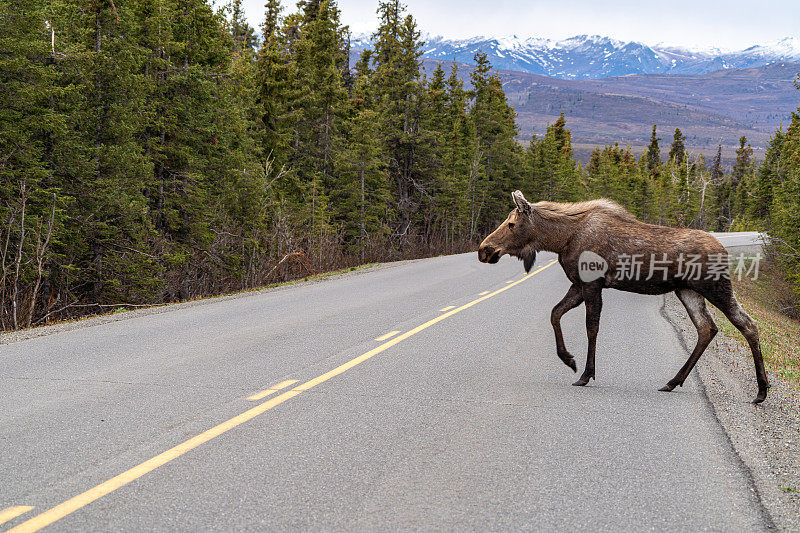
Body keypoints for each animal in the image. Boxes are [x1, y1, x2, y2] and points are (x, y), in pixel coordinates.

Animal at [476, 189, 768, 402]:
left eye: (511, 223)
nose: (483, 249)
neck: (561, 239)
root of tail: (724, 250)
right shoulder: (578, 285)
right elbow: (555, 313)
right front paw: (568, 359)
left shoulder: (592, 283)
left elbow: (591, 327)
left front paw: (586, 373)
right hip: (687, 290)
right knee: (707, 328)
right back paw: (673, 381)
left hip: (716, 287)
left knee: (748, 324)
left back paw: (762, 391)